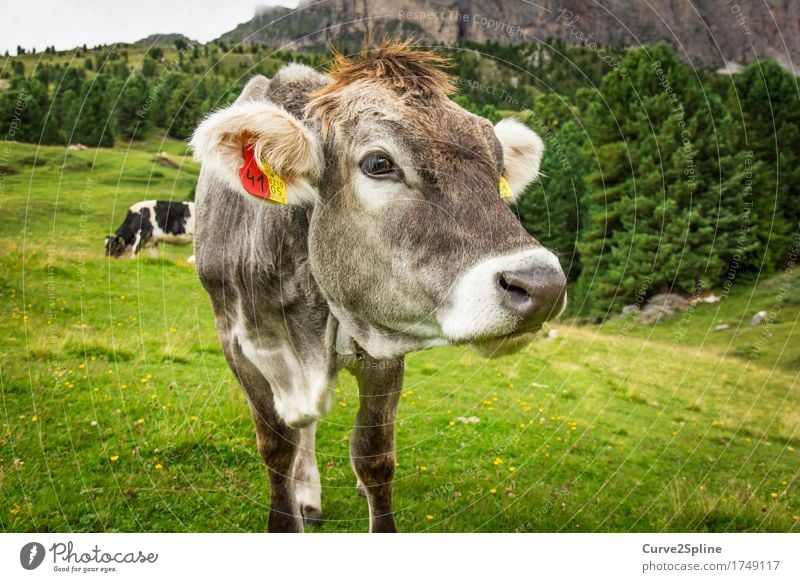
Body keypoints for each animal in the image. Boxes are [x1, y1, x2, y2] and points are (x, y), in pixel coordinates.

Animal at [190, 41, 564, 532]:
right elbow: (277, 448)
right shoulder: (236, 340)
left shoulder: (385, 347)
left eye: (498, 168)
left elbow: (373, 457)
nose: (543, 286)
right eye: (379, 163)